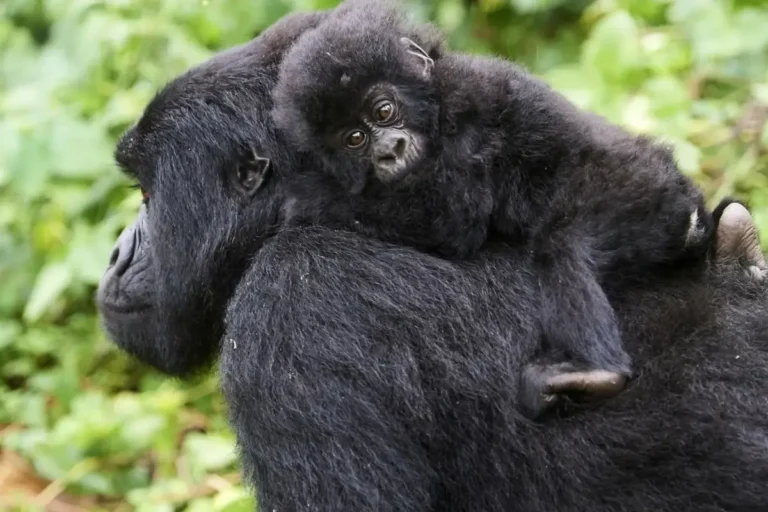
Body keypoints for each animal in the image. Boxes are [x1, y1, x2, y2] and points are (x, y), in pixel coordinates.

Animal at [271, 0, 714, 417]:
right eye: (355, 139)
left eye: (383, 110)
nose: (388, 150)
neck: (435, 97)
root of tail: (692, 213)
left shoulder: (468, 109)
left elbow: (451, 219)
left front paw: (308, 196)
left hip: (642, 190)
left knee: (563, 249)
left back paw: (595, 371)